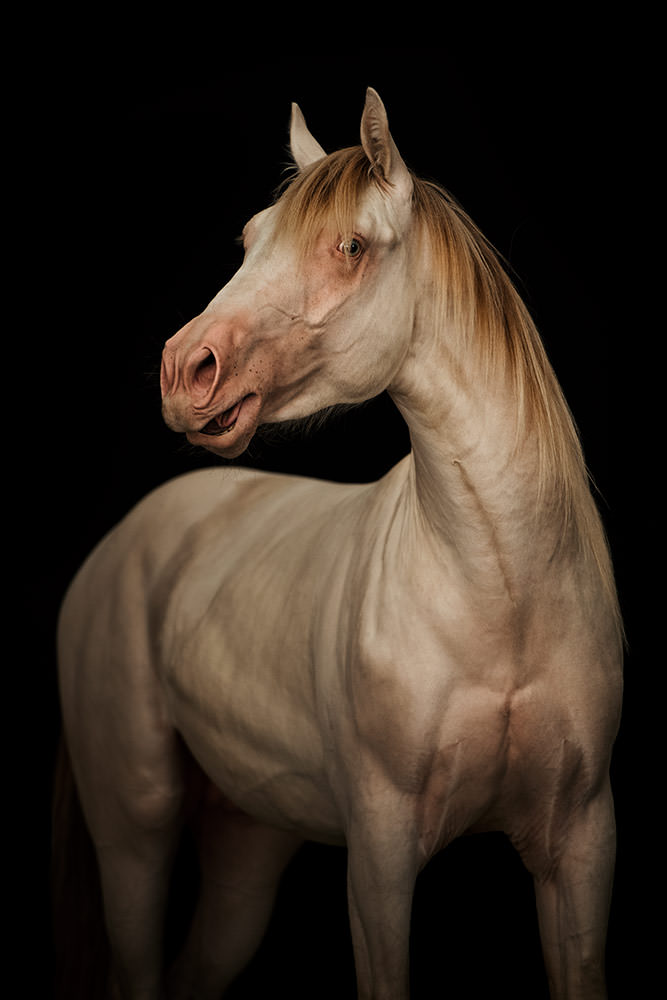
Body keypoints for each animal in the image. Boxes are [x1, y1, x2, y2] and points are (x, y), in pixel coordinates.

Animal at [55, 88, 623, 999]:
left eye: (351, 246)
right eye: (250, 237)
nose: (185, 370)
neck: (502, 593)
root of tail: (125, 544)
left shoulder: (581, 849)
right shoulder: (380, 860)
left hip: (246, 848)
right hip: (135, 836)